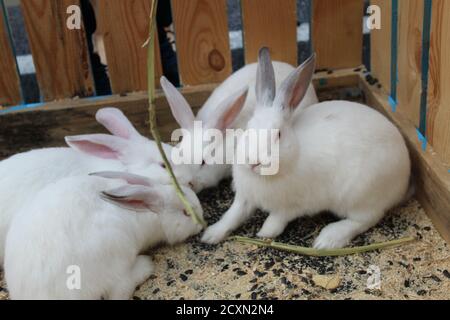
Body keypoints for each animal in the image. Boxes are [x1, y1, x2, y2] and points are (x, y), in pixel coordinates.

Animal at [200, 47, 412, 249]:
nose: (253, 162)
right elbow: (232, 215)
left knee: (365, 219)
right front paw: (210, 235)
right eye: (248, 128)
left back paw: (327, 240)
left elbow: (277, 219)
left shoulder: (294, 205)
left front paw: (264, 233)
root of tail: (405, 176)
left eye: (278, 135)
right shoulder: (244, 198)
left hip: (360, 194)